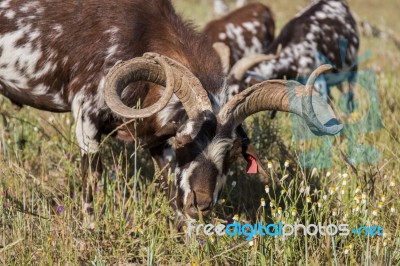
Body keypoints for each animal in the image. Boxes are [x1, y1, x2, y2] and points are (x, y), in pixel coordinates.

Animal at [0, 0, 342, 227]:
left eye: (232, 155)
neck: (134, 33)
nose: (201, 203)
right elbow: (90, 184)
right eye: (183, 141)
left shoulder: (155, 140)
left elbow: (169, 183)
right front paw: (90, 230)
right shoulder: (86, 116)